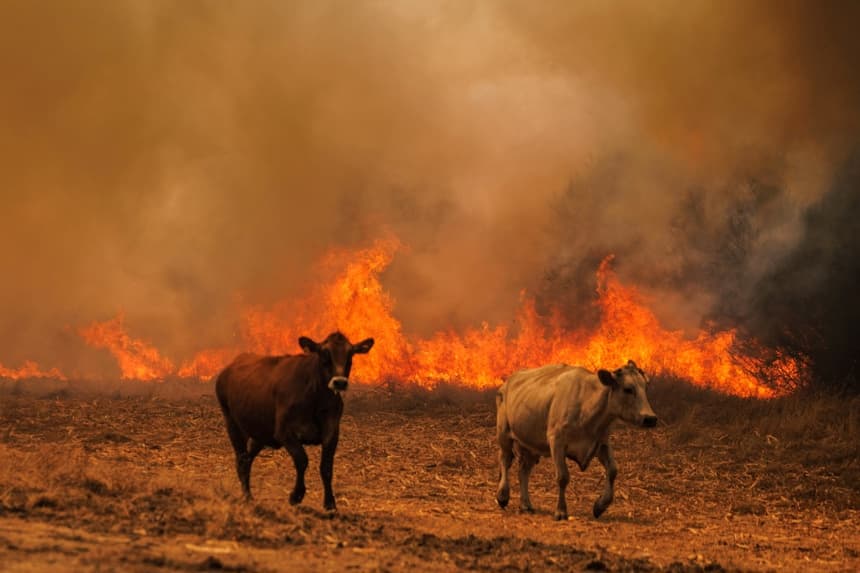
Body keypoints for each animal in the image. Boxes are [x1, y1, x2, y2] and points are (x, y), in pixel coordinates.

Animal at [215, 331, 374, 511]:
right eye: (324, 353)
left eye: (350, 354)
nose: (339, 382)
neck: (316, 400)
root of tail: (230, 367)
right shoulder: (284, 432)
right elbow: (302, 460)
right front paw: (296, 495)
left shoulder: (332, 431)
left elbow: (326, 467)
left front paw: (330, 503)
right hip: (232, 424)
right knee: (241, 459)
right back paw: (247, 497)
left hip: (260, 433)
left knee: (247, 459)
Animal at [495, 360, 658, 520]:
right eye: (627, 389)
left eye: (645, 387)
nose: (650, 418)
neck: (586, 404)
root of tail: (508, 382)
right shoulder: (557, 441)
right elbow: (563, 477)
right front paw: (561, 511)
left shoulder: (601, 442)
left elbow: (612, 470)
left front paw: (600, 505)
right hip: (504, 434)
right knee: (505, 460)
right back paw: (502, 495)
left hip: (531, 444)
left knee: (523, 471)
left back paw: (526, 504)